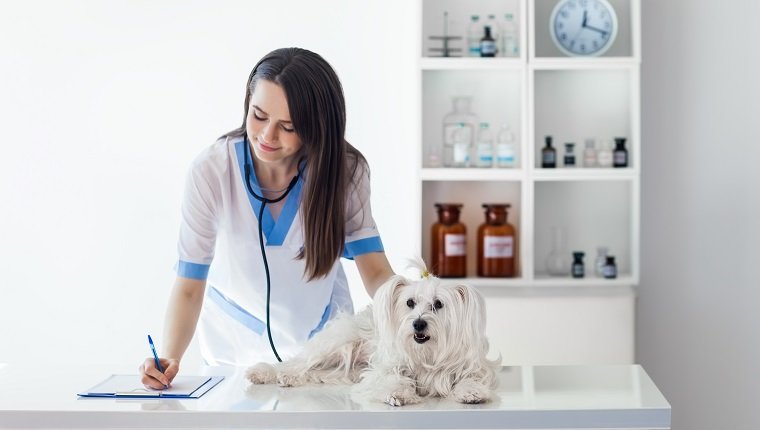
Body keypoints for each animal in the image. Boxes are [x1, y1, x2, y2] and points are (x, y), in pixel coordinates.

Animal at [246, 262, 502, 406]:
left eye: (438, 304)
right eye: (410, 302)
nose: (418, 324)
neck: (426, 354)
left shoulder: (471, 368)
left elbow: (470, 379)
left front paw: (471, 392)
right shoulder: (384, 368)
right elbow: (392, 378)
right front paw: (398, 393)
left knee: (316, 373)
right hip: (336, 343)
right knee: (298, 363)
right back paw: (271, 374)